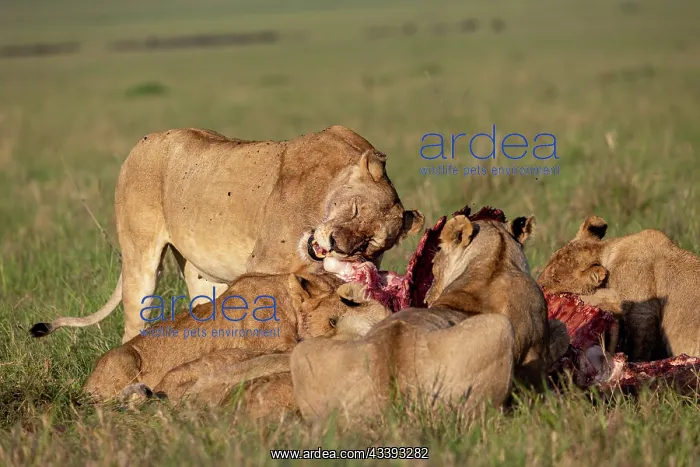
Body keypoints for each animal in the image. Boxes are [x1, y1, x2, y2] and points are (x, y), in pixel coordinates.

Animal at [30, 125, 424, 343]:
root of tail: (142, 142)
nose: (337, 245)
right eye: (355, 209)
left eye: (371, 244)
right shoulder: (264, 266)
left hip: (203, 275)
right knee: (132, 325)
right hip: (140, 257)